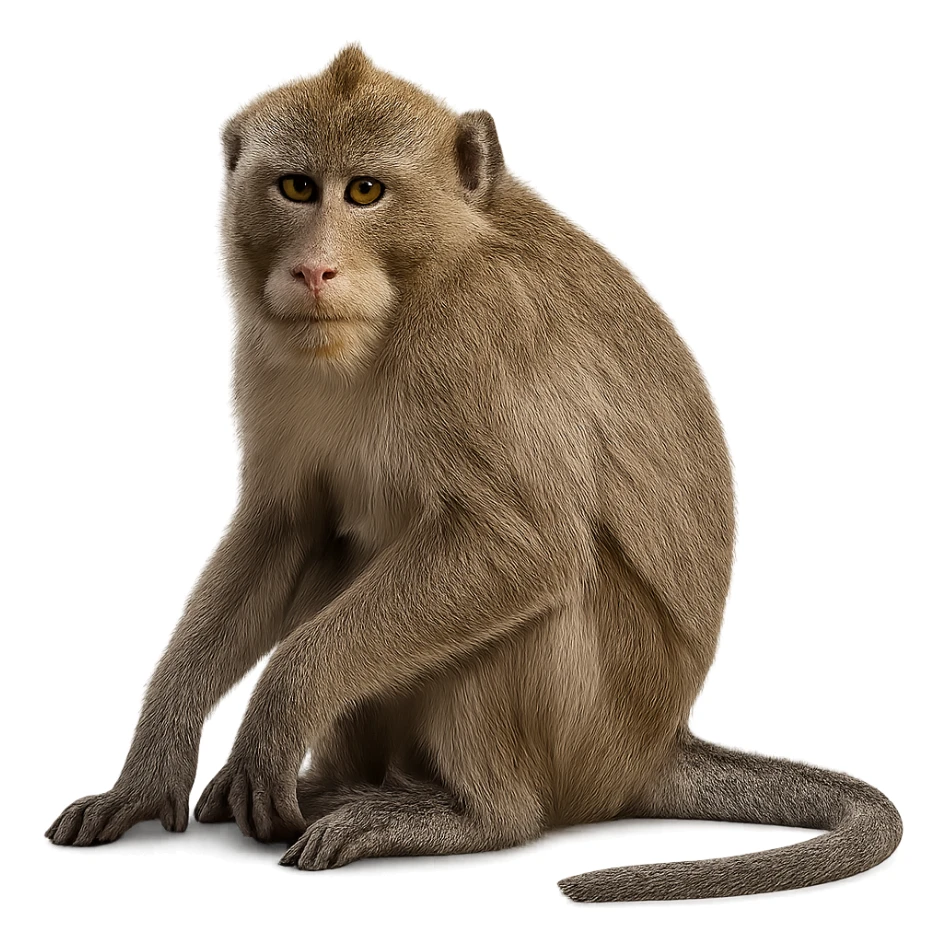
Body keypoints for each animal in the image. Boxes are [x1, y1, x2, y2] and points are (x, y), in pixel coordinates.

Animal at [46, 45, 902, 901]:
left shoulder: (476, 337)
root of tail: (656, 744)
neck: (411, 291)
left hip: (594, 722)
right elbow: (287, 528)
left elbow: (524, 545)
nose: (314, 270)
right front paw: (150, 763)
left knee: (532, 601)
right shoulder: (270, 348)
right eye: (296, 187)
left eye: (365, 191)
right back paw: (343, 784)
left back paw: (470, 816)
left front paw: (276, 711)